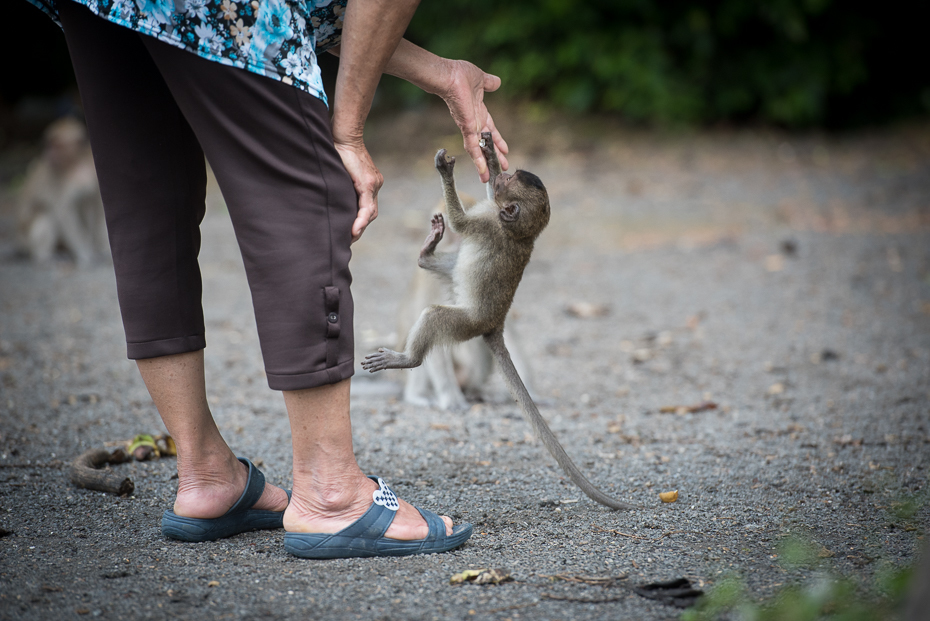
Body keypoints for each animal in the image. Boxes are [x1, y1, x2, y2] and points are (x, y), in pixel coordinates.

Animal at [17, 116, 107, 266]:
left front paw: (100, 249)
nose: (47, 154)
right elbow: (64, 212)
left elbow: (96, 205)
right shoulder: (57, 178)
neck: (77, 163)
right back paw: (45, 257)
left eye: (56, 146)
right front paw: (85, 253)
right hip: (27, 239)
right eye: (48, 144)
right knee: (46, 215)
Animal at [362, 134, 640, 508]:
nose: (501, 176)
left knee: (435, 317)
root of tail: (494, 324)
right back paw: (426, 255)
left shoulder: (488, 221)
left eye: (510, 182)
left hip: (465, 323)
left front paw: (447, 171)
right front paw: (490, 153)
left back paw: (407, 358)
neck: (519, 232)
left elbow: (462, 223)